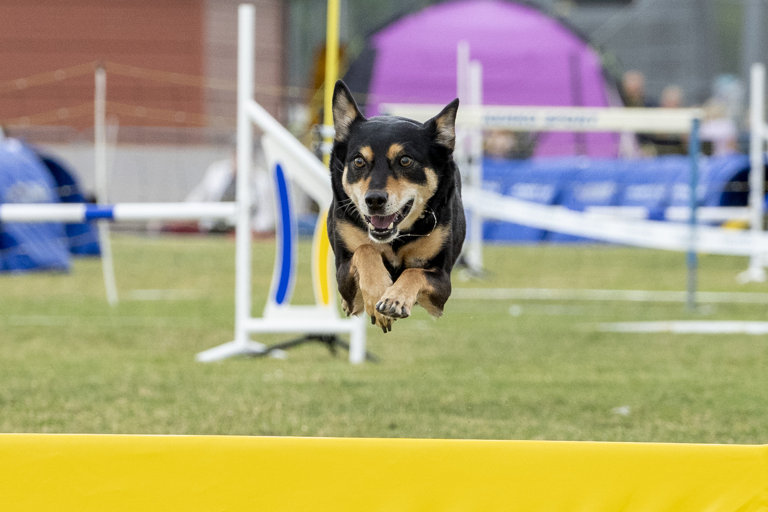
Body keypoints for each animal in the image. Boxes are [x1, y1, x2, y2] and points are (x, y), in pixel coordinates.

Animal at [328, 81, 464, 332]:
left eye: (405, 160)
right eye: (359, 161)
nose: (374, 200)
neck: (396, 239)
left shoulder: (442, 284)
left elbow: (413, 271)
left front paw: (394, 299)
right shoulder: (343, 273)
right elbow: (365, 249)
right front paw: (378, 293)